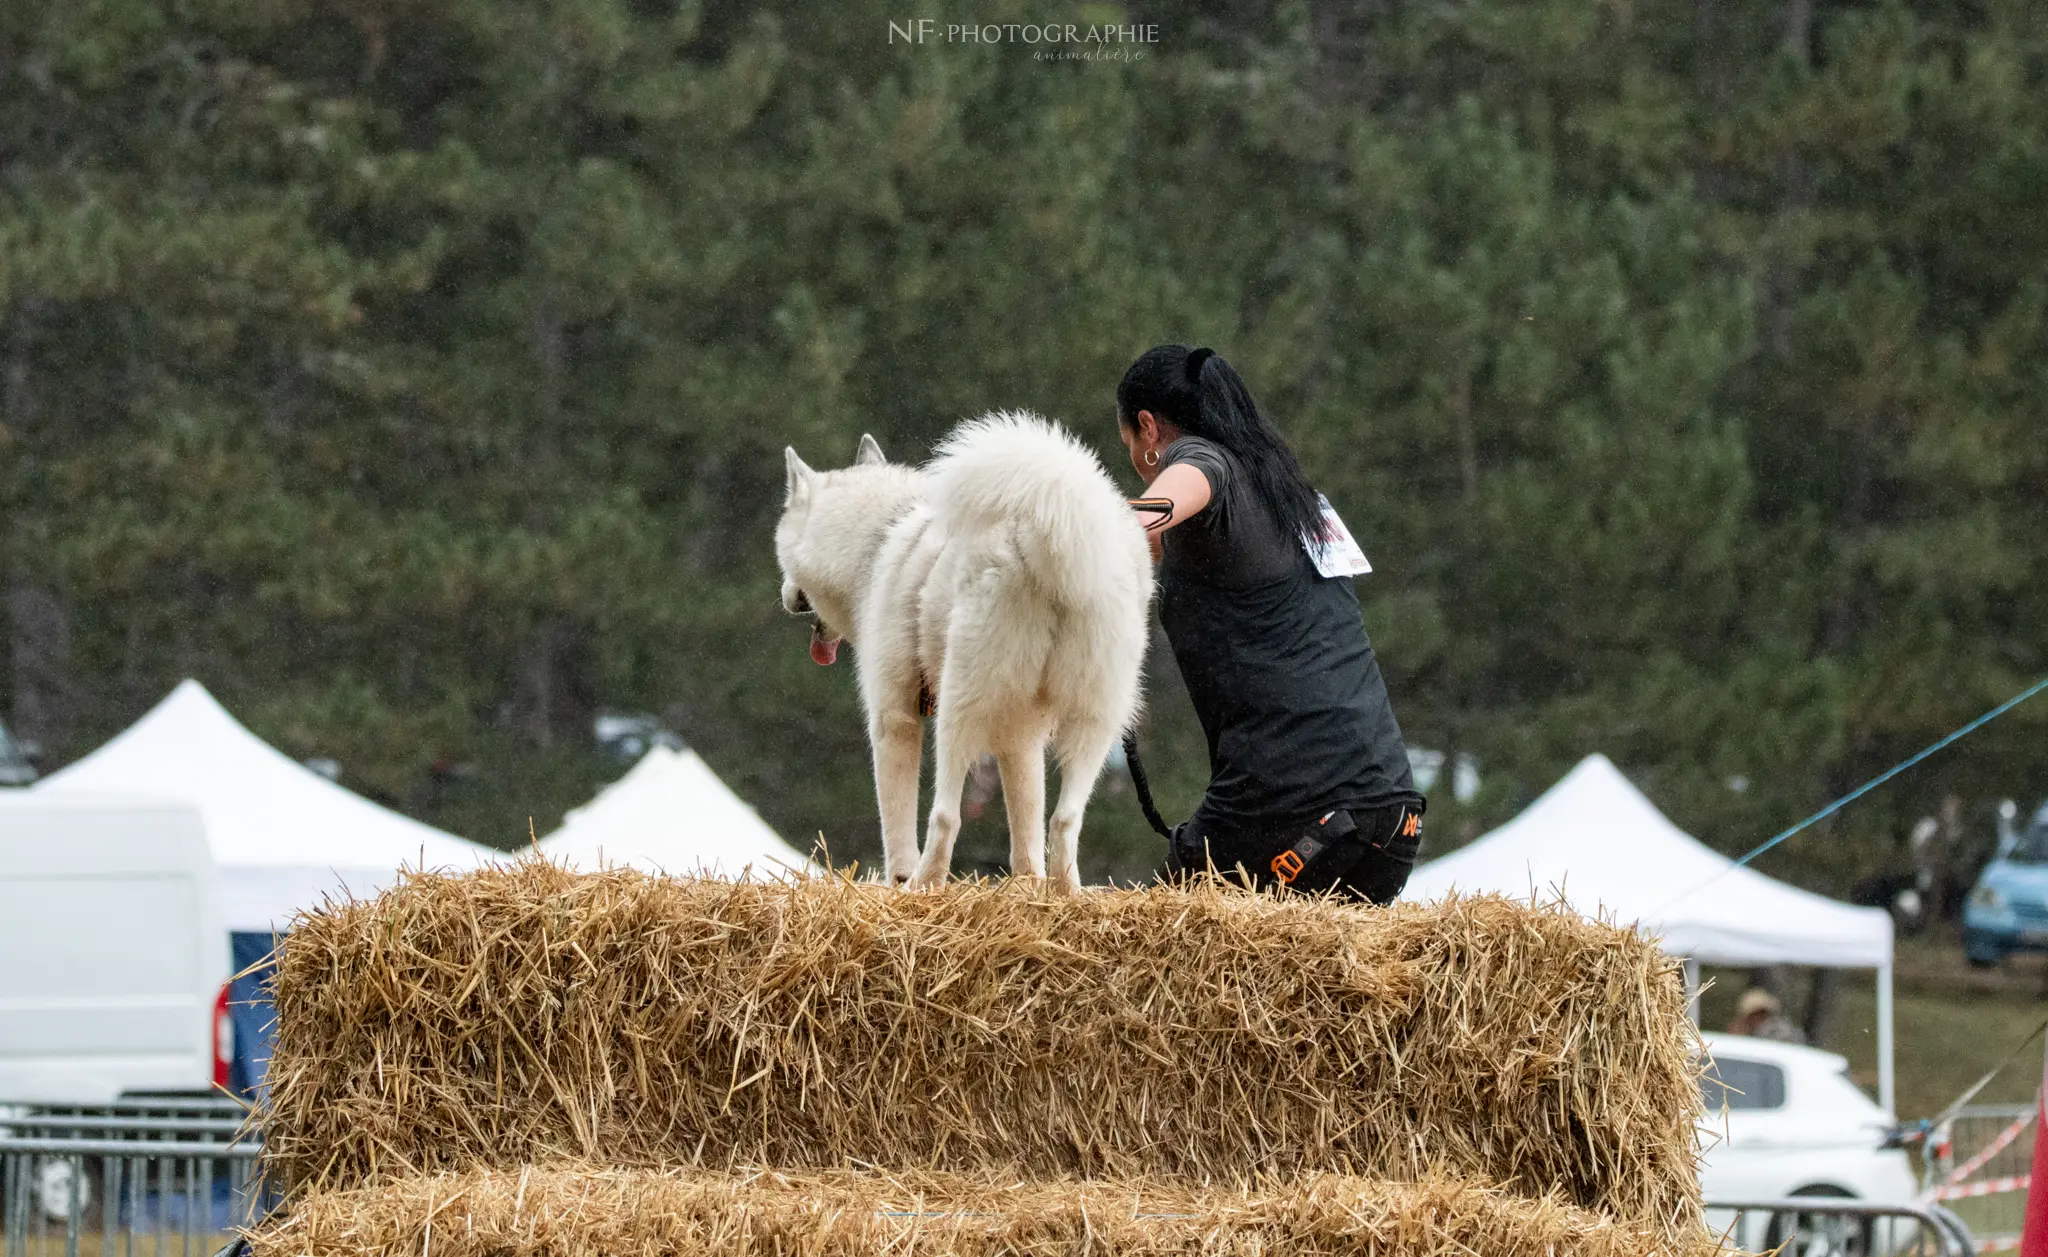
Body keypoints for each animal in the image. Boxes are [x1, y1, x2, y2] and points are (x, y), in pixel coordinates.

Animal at [774, 413, 1155, 896]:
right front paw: (1029, 886)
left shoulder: (893, 720)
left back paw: (925, 882)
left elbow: (897, 825)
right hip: (1096, 722)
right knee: (1065, 819)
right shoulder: (1021, 737)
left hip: (959, 712)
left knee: (944, 815)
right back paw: (1067, 892)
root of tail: (1047, 529)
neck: (880, 541)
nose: (786, 597)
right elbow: (1027, 827)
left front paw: (898, 882)